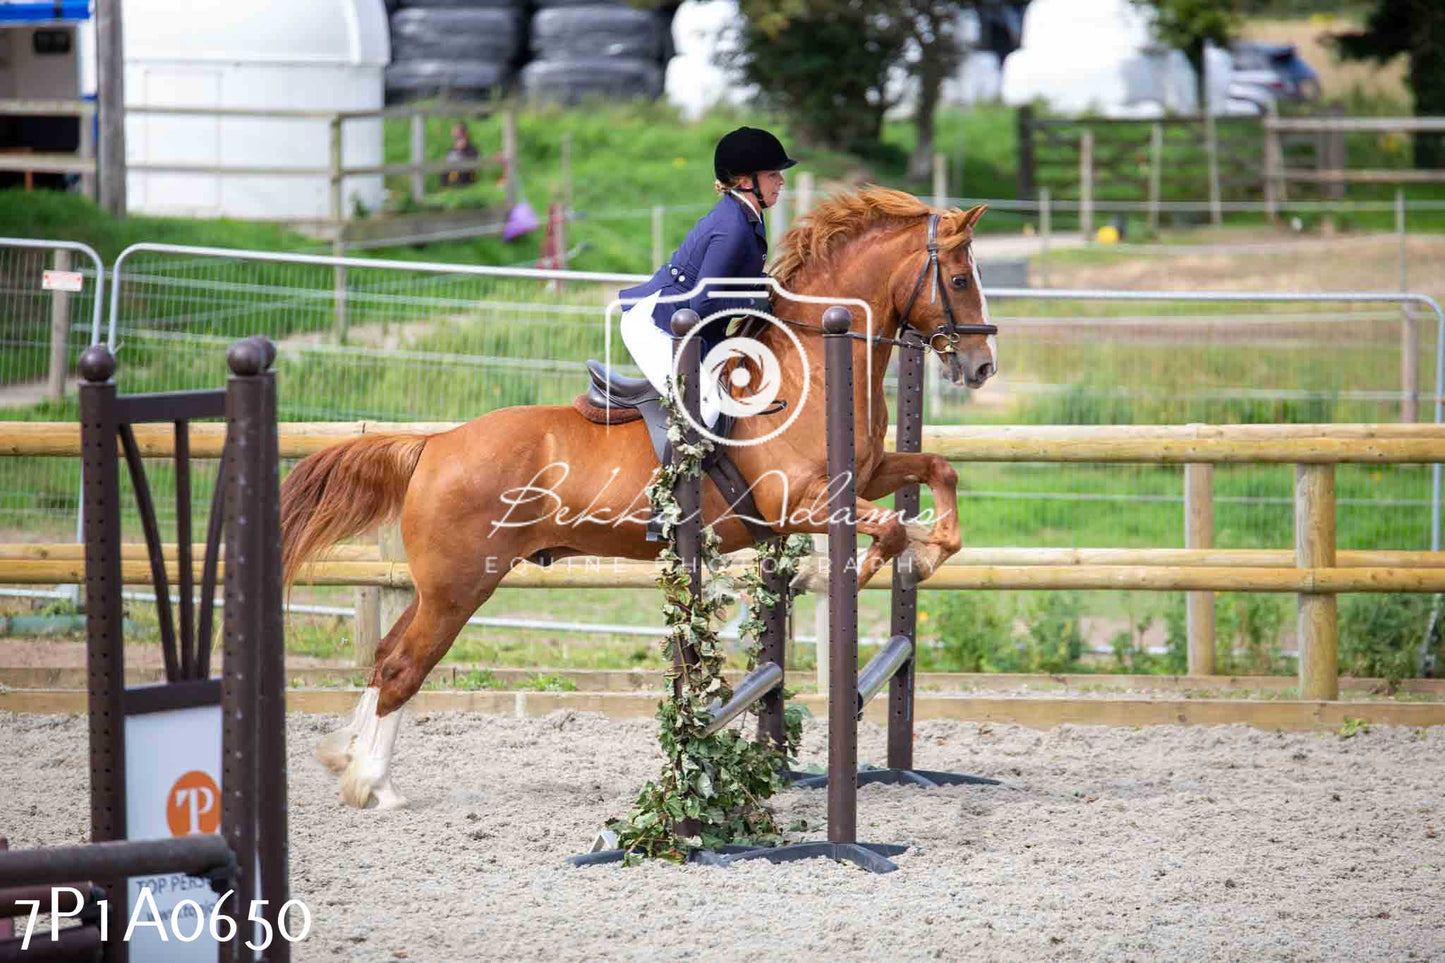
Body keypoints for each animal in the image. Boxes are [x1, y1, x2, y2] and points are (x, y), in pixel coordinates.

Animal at [280, 185, 994, 803]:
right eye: (960, 280)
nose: (981, 367)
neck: (813, 365)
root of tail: (435, 444)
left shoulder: (865, 476)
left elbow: (940, 472)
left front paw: (930, 553)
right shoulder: (802, 501)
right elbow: (889, 528)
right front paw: (840, 573)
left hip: (444, 585)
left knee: (386, 657)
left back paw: (354, 764)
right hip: (461, 584)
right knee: (405, 664)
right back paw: (370, 784)